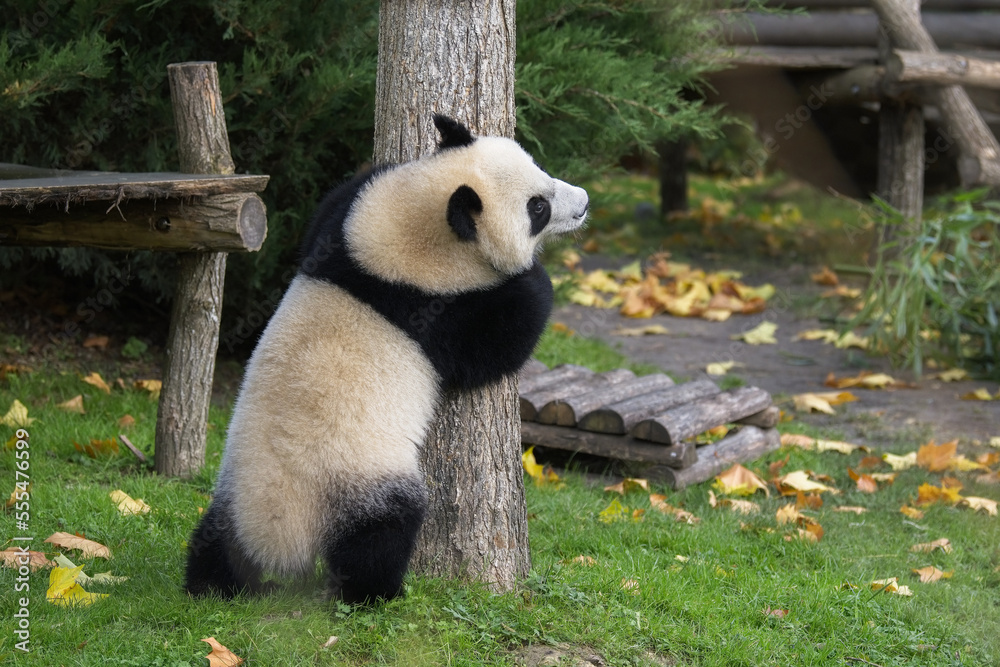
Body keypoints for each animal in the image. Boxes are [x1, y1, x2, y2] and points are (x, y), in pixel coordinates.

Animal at [185, 115, 589, 603]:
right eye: (537, 209)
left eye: (540, 170)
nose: (584, 203)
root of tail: (278, 537)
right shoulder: (435, 313)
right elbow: (497, 340)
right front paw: (535, 278)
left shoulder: (340, 239)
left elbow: (331, 207)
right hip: (362, 482)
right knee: (380, 535)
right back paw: (376, 592)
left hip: (235, 489)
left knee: (214, 540)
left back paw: (209, 583)